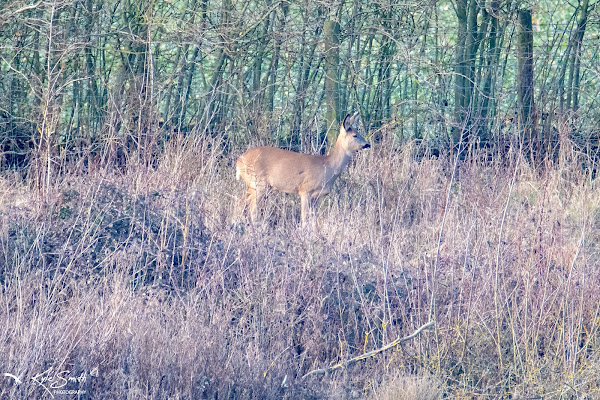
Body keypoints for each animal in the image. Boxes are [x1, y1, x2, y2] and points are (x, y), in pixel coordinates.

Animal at [236, 112, 370, 225]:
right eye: (355, 135)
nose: (367, 144)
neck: (328, 167)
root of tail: (239, 161)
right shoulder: (305, 190)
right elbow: (305, 218)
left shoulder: (316, 196)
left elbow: (313, 219)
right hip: (258, 183)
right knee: (253, 209)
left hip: (254, 185)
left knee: (241, 202)